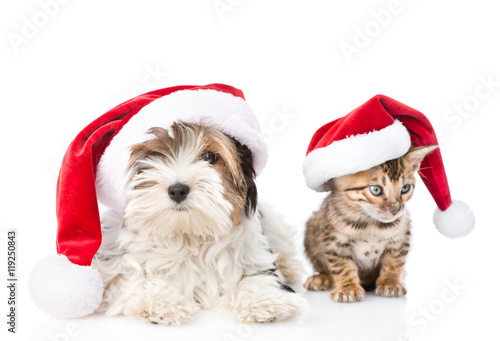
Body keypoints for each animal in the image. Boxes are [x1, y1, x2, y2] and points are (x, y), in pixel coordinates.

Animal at [93, 121, 304, 322]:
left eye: (209, 157)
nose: (178, 190)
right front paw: (163, 303)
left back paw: (290, 268)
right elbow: (135, 279)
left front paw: (264, 301)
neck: (187, 234)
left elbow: (256, 278)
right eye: (153, 156)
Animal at [302, 143, 436, 300]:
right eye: (376, 190)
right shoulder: (334, 241)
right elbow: (342, 266)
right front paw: (348, 288)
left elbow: (395, 261)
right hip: (312, 228)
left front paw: (390, 283)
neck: (371, 223)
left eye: (405, 188)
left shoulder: (401, 237)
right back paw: (321, 278)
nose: (396, 210)